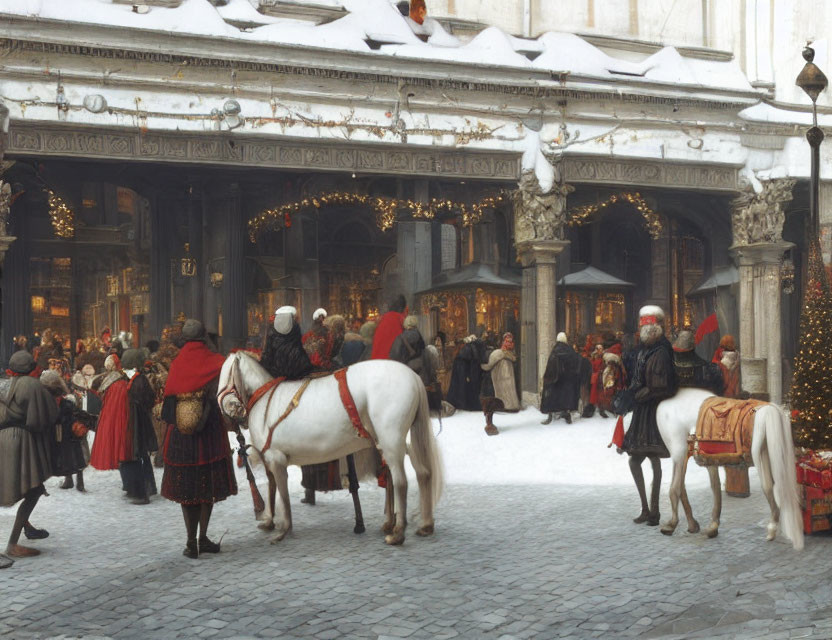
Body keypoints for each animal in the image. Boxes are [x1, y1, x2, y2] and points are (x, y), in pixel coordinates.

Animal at [218, 350, 446, 544]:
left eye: (226, 374)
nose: (227, 407)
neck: (265, 399)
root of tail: (413, 377)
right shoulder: (270, 461)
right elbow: (272, 486)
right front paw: (269, 521)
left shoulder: (276, 459)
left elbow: (282, 492)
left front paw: (283, 528)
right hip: (390, 443)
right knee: (422, 472)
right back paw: (422, 524)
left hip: (391, 441)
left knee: (400, 481)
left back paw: (398, 532)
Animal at [640, 384, 804, 552]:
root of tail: (770, 411)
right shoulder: (704, 457)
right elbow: (712, 488)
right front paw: (705, 526)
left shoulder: (678, 450)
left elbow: (675, 489)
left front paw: (672, 524)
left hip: (762, 456)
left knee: (769, 487)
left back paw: (772, 528)